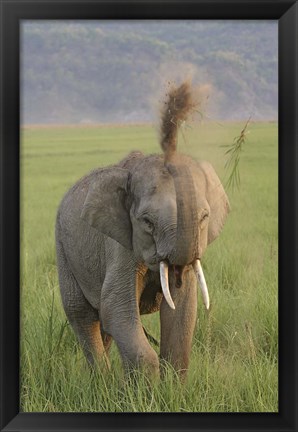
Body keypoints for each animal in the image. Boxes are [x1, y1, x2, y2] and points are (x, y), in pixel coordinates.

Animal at [54, 81, 229, 378]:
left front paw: (171, 386)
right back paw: (101, 381)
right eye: (147, 222)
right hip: (62, 248)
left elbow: (182, 308)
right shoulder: (120, 244)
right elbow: (115, 305)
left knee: (102, 323)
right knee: (83, 314)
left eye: (204, 217)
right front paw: (146, 386)